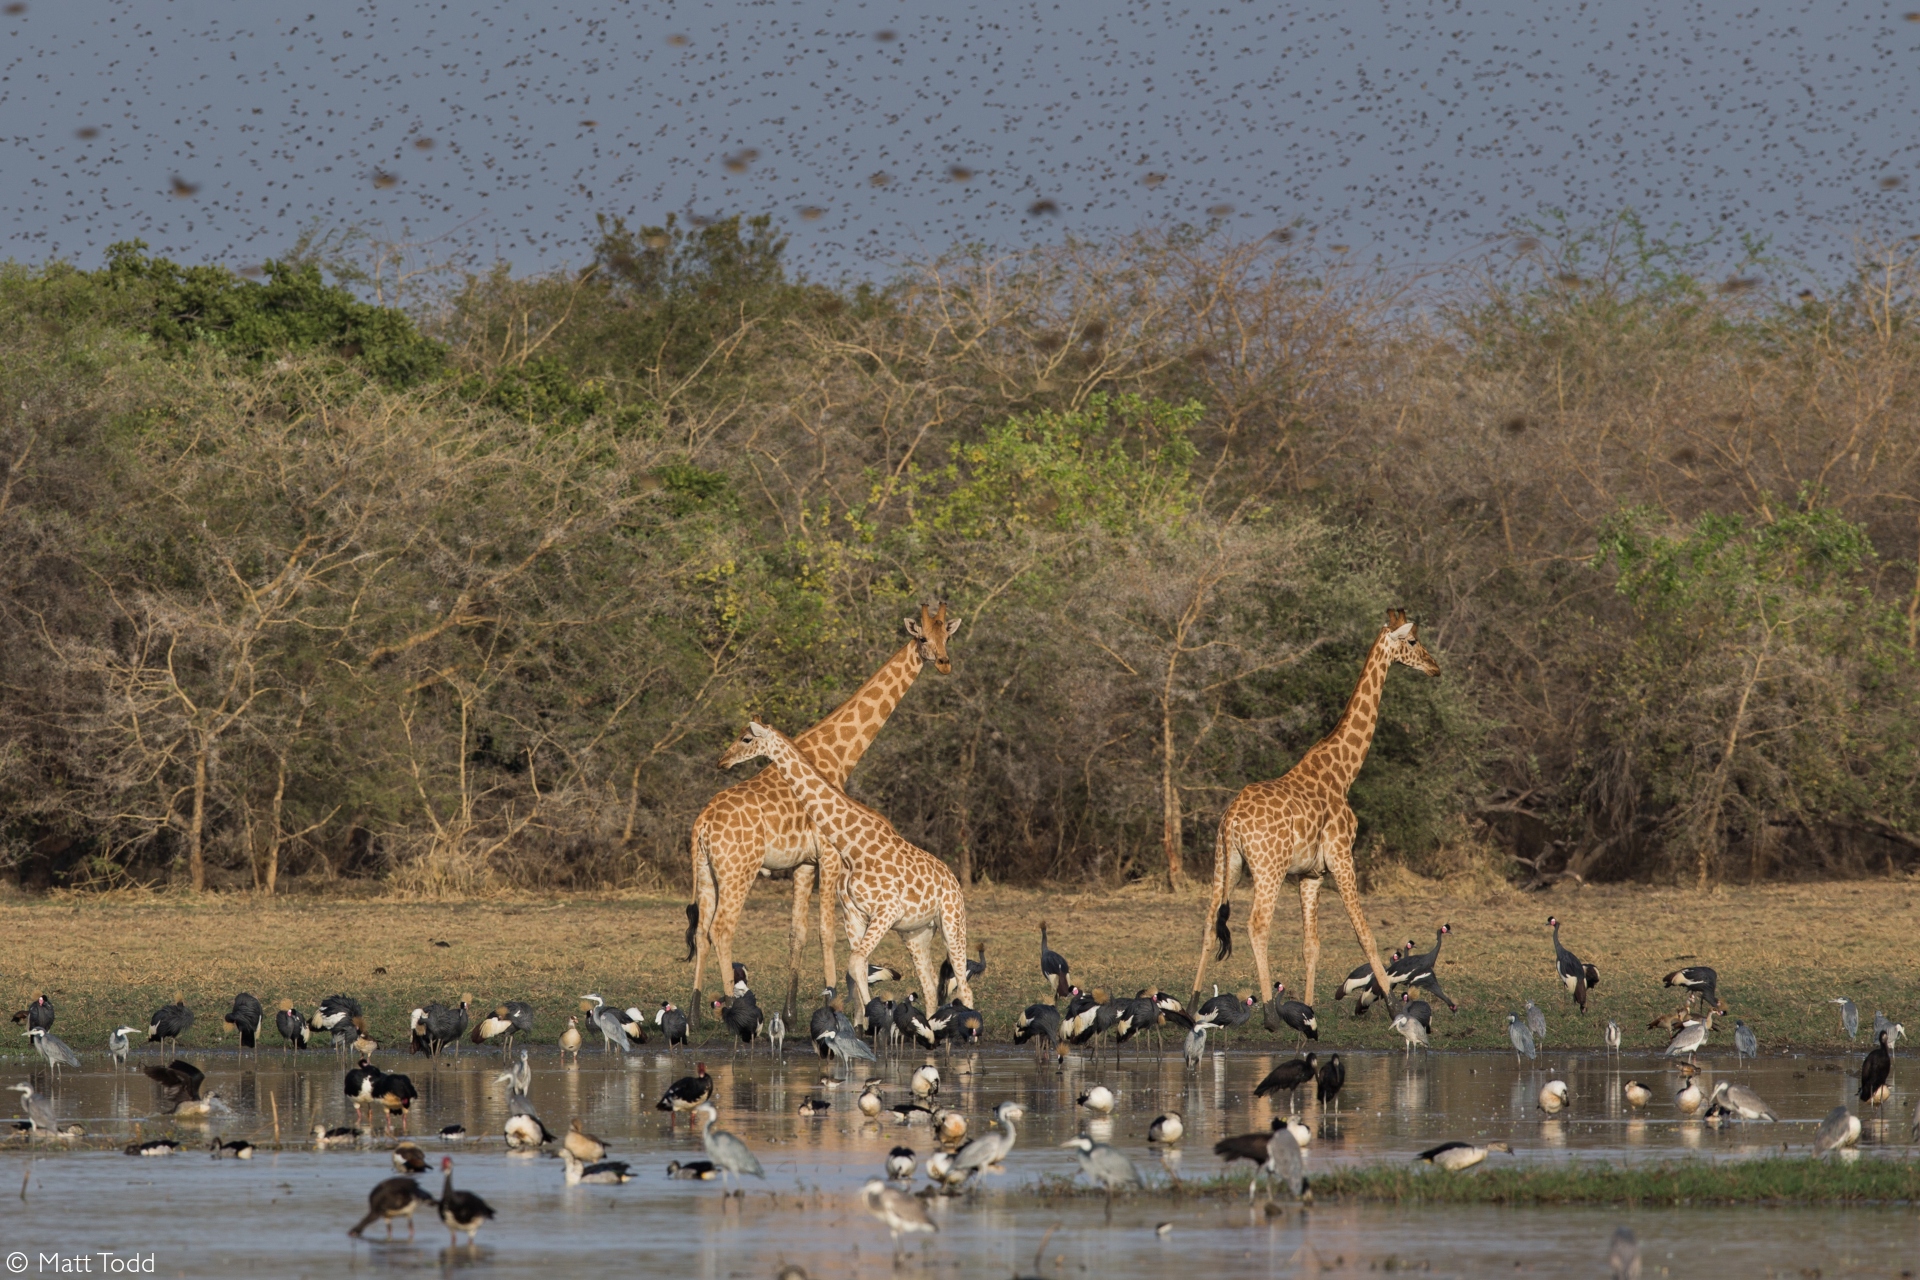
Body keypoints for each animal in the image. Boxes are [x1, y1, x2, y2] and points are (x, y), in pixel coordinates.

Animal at [687, 606, 960, 1013]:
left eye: (948, 636)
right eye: (923, 638)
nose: (943, 663)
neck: (838, 755)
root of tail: (701, 825)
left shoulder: (803, 862)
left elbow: (798, 933)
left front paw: (791, 1010)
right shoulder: (829, 856)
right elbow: (827, 932)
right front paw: (835, 998)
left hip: (705, 871)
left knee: (703, 931)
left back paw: (694, 1011)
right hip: (738, 870)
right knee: (722, 929)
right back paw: (730, 1005)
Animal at [721, 721, 983, 1020]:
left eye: (746, 739)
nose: (723, 761)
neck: (853, 847)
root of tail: (953, 880)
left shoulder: (886, 910)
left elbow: (857, 962)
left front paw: (872, 1016)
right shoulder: (854, 914)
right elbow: (856, 967)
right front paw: (861, 1021)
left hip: (952, 922)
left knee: (964, 986)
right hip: (916, 933)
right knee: (929, 987)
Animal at [1182, 606, 1443, 1013]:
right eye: (1413, 641)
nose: (1435, 668)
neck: (1342, 772)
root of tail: (1231, 820)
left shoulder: (1311, 874)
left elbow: (1311, 945)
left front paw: (1307, 1010)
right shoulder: (1342, 856)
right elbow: (1364, 933)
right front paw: (1390, 1003)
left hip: (1224, 864)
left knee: (1210, 925)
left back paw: (1193, 1005)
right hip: (1268, 869)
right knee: (1257, 925)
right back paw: (1269, 1013)